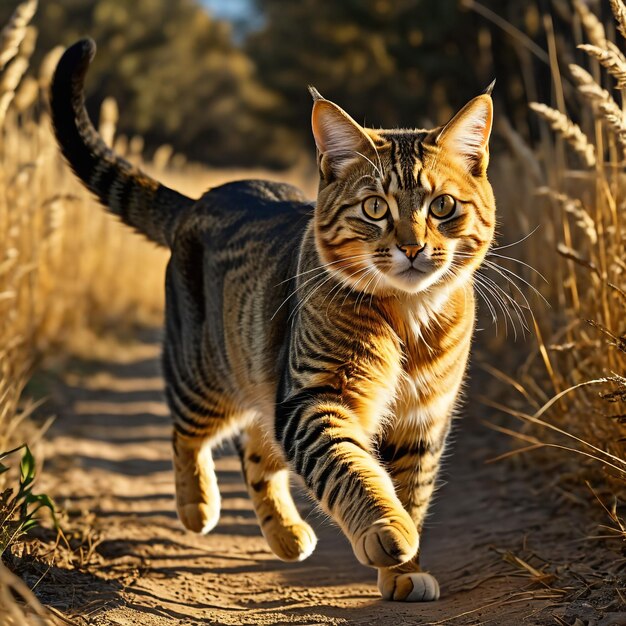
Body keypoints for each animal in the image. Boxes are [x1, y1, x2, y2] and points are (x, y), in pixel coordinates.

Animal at [51, 39, 494, 600]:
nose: (413, 247)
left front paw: (403, 572)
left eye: (443, 206)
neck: (407, 317)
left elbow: (410, 490)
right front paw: (387, 529)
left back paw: (286, 534)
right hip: (206, 375)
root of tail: (199, 200)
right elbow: (350, 469)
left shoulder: (421, 419)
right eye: (375, 207)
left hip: (266, 380)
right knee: (188, 434)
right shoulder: (316, 396)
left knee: (255, 451)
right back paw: (197, 506)